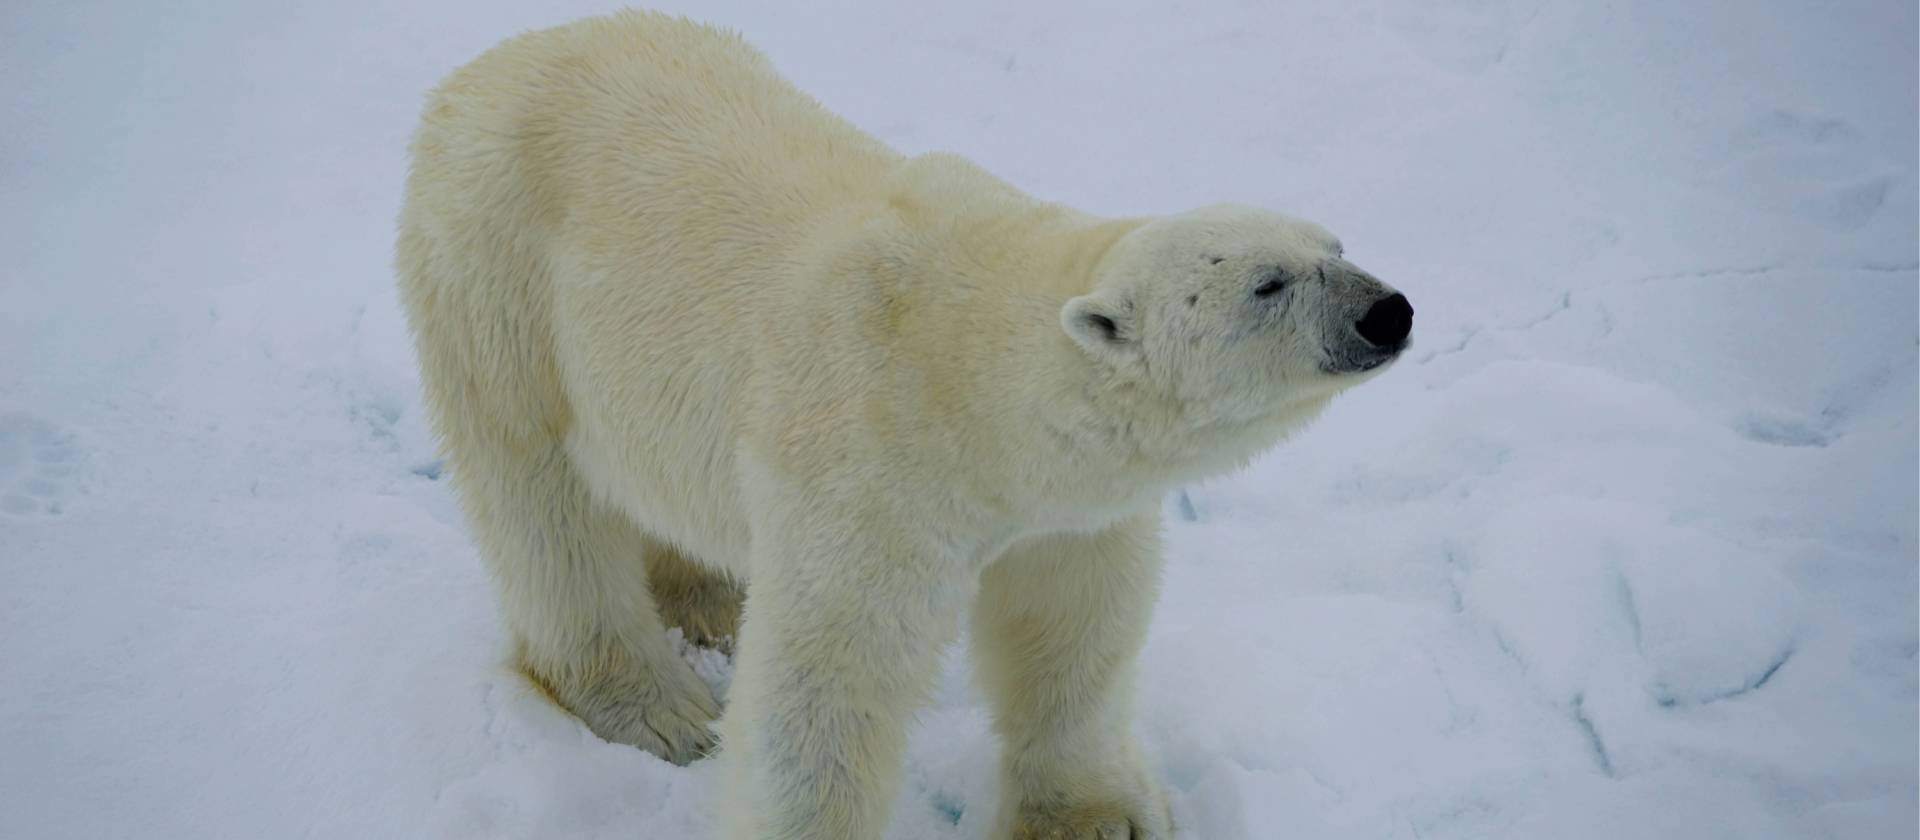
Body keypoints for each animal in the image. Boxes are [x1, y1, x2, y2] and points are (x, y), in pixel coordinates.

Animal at [395, 10, 1411, 840]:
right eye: (1269, 284)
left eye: (1336, 245)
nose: (1387, 312)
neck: (969, 363)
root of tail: (484, 67)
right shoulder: (870, 471)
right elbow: (827, 685)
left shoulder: (1057, 512)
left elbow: (1077, 626)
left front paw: (1095, 818)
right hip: (498, 279)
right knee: (540, 502)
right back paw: (656, 706)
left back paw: (710, 600)